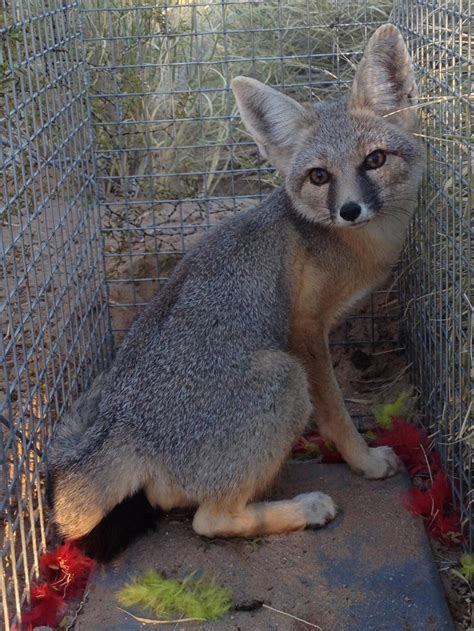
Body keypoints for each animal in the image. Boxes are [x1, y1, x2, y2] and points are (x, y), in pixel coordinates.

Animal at [49, 24, 426, 560]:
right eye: (319, 176)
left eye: (374, 160)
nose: (350, 209)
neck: (349, 244)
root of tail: (122, 419)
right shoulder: (305, 333)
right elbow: (336, 412)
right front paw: (365, 460)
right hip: (285, 378)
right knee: (209, 520)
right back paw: (304, 508)